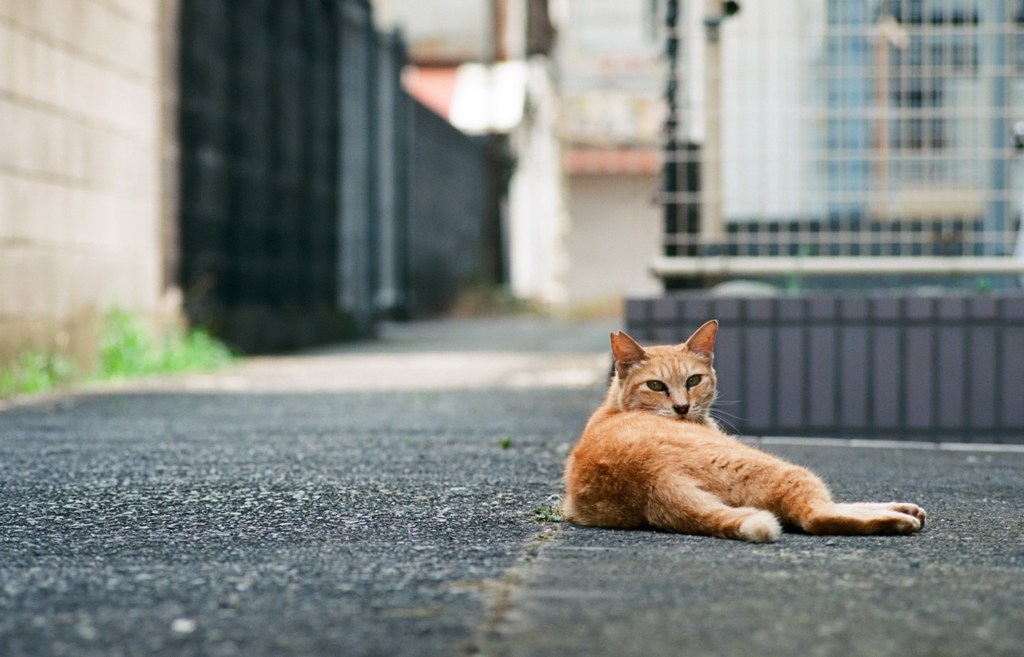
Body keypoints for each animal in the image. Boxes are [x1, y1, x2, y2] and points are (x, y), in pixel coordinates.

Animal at [565, 319, 925, 540]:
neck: (614, 408)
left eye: (693, 381)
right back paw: (897, 521)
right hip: (784, 469)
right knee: (814, 514)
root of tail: (650, 477)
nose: (681, 407)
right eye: (656, 385)